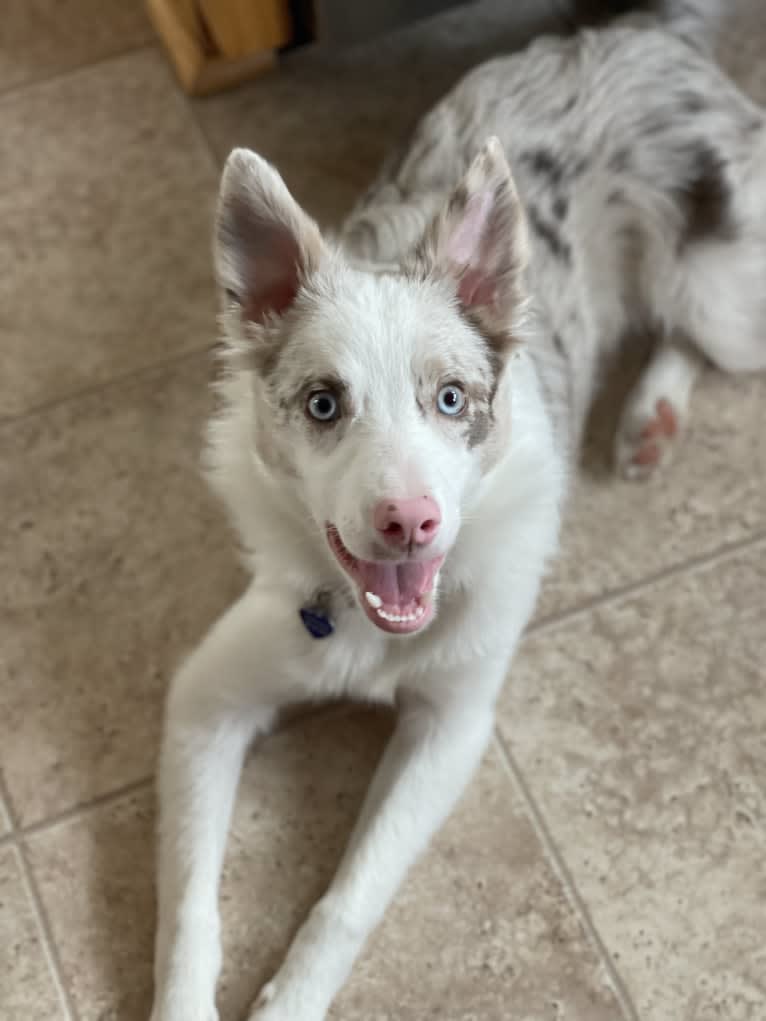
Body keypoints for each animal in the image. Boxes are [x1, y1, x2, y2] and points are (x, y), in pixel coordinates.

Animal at [150, 3, 766, 1016]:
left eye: (450, 398)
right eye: (323, 403)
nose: (409, 522)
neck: (369, 632)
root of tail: (643, 30)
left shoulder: (453, 724)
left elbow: (348, 897)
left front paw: (290, 998)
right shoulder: (206, 696)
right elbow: (189, 906)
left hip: (721, 294)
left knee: (696, 330)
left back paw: (651, 410)